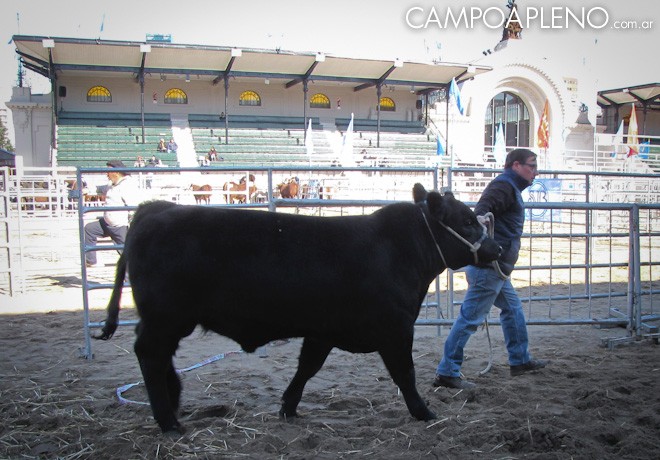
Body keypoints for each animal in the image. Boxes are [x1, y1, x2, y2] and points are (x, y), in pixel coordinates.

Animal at [95, 184, 500, 434]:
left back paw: (174, 400)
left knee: (158, 356)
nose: (496, 249)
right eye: (466, 220)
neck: (400, 250)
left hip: (168, 319)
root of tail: (154, 210)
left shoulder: (323, 330)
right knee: (150, 355)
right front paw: (424, 412)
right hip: (166, 317)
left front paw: (288, 407)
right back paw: (169, 421)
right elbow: (405, 375)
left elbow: (307, 368)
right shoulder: (396, 329)